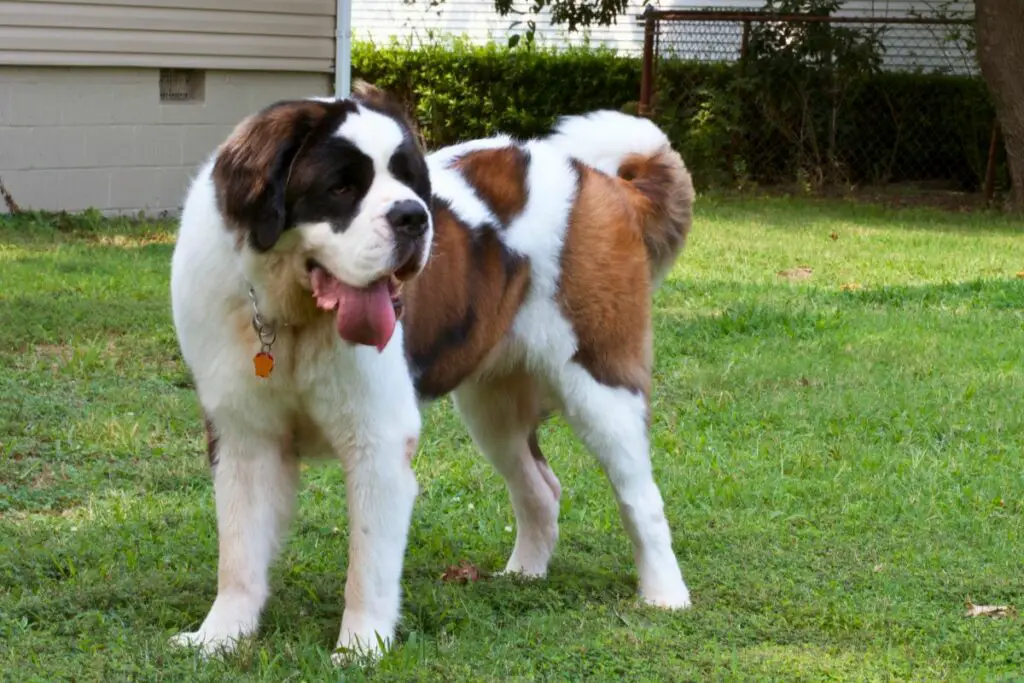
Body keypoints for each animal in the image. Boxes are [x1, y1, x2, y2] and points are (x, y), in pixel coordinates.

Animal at [169, 80, 696, 663]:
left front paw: (359, 649)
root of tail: (600, 181)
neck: (292, 316)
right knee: (539, 486)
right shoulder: (243, 437)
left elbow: (368, 563)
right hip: (492, 409)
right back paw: (524, 573)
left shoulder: (378, 441)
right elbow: (238, 554)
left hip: (602, 385)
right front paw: (218, 637)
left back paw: (665, 595)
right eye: (340, 187)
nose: (414, 217)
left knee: (641, 497)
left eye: (408, 180)